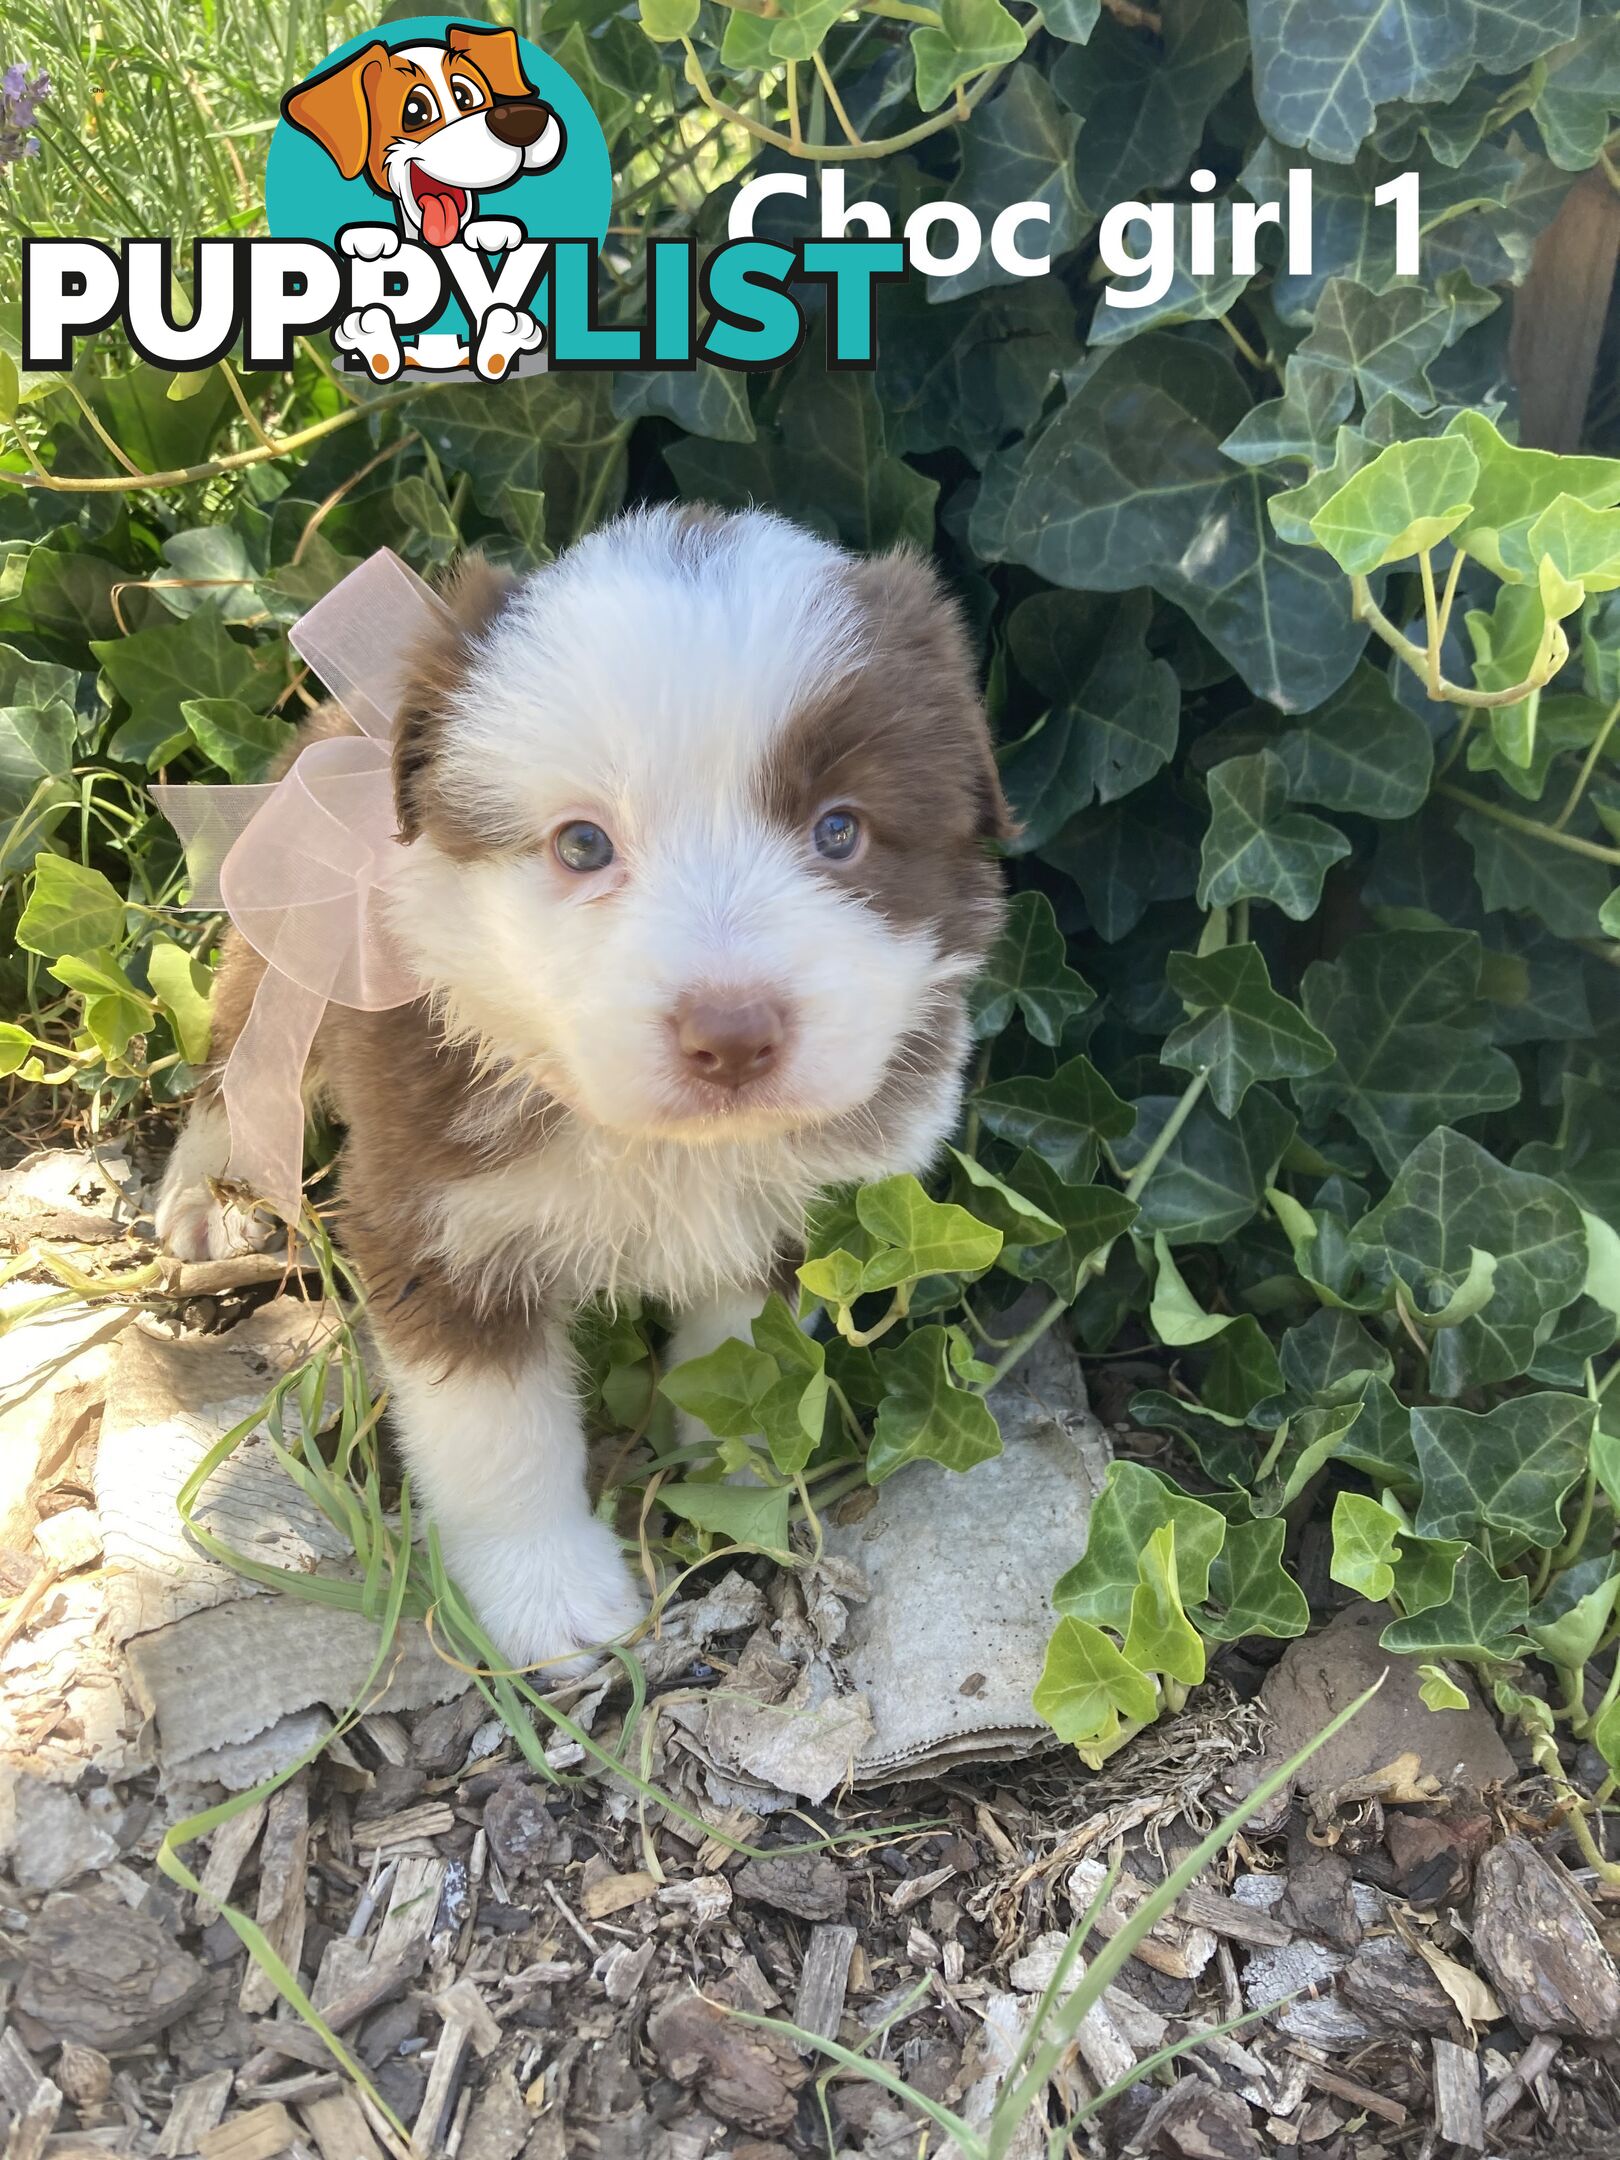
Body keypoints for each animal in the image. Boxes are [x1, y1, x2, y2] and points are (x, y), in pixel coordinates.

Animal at [155, 505, 1015, 1667]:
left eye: (840, 830)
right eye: (581, 844)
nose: (732, 1036)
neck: (649, 1141)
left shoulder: (778, 1219)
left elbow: (744, 1361)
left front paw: (733, 1483)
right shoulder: (438, 1222)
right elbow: (498, 1435)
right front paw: (551, 1601)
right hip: (276, 949)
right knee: (234, 1069)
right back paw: (207, 1197)